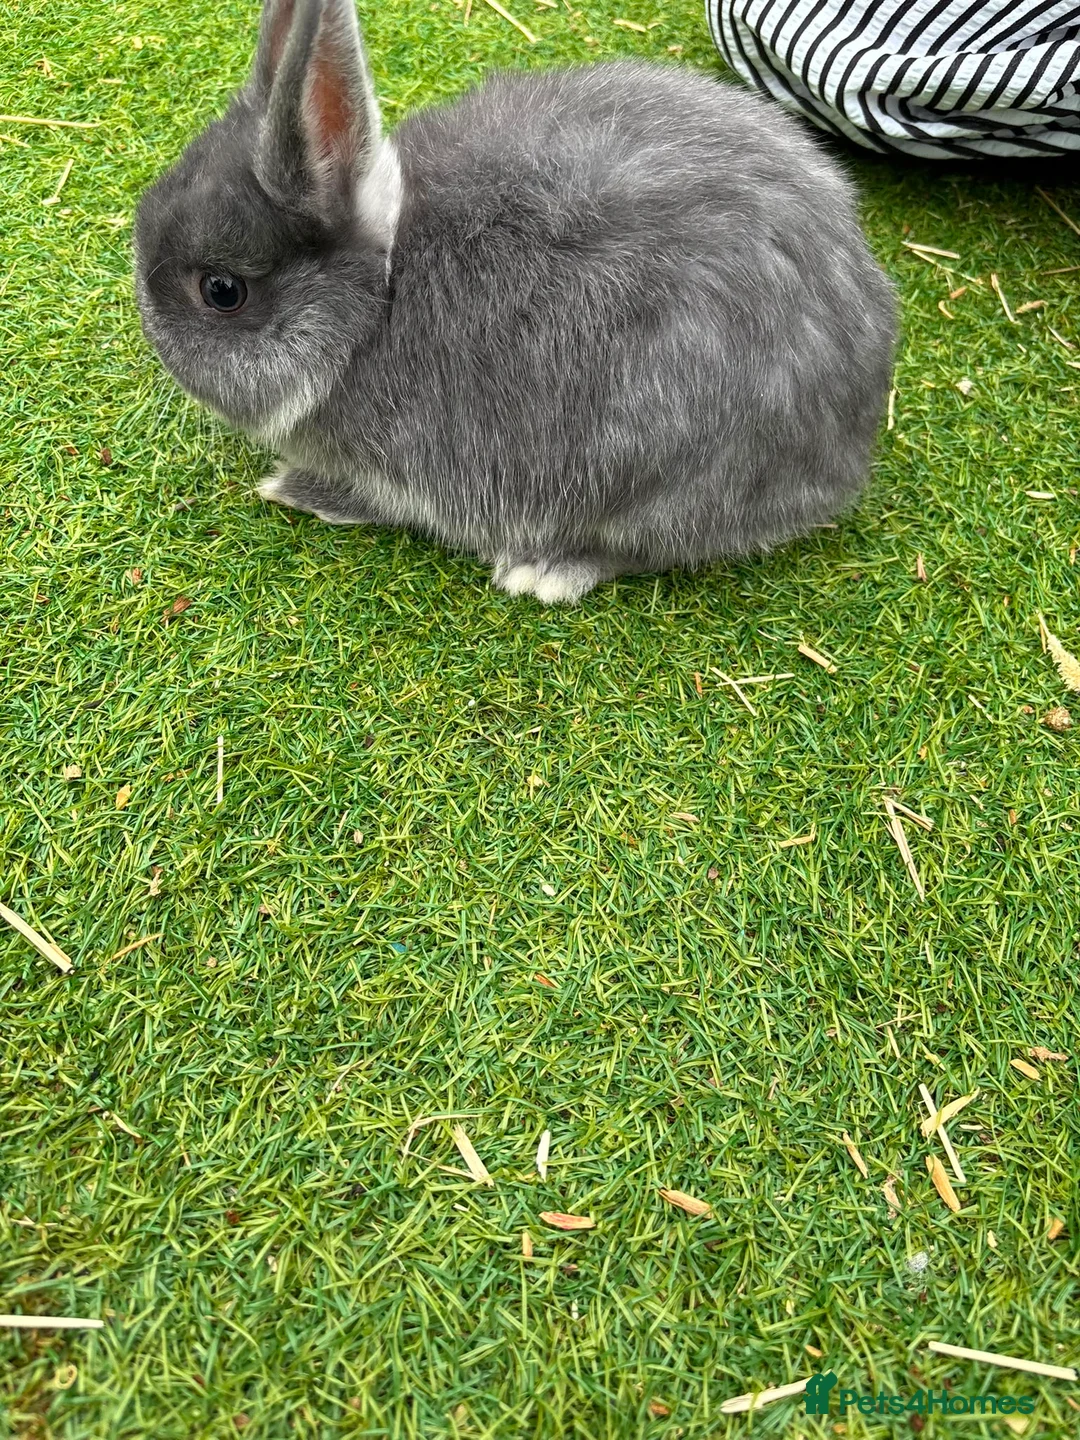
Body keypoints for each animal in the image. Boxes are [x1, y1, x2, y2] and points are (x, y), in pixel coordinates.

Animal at [134, 0, 897, 605]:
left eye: (221, 291)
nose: (150, 333)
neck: (376, 303)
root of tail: (848, 448)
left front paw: (293, 488)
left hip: (656, 474)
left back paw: (546, 572)